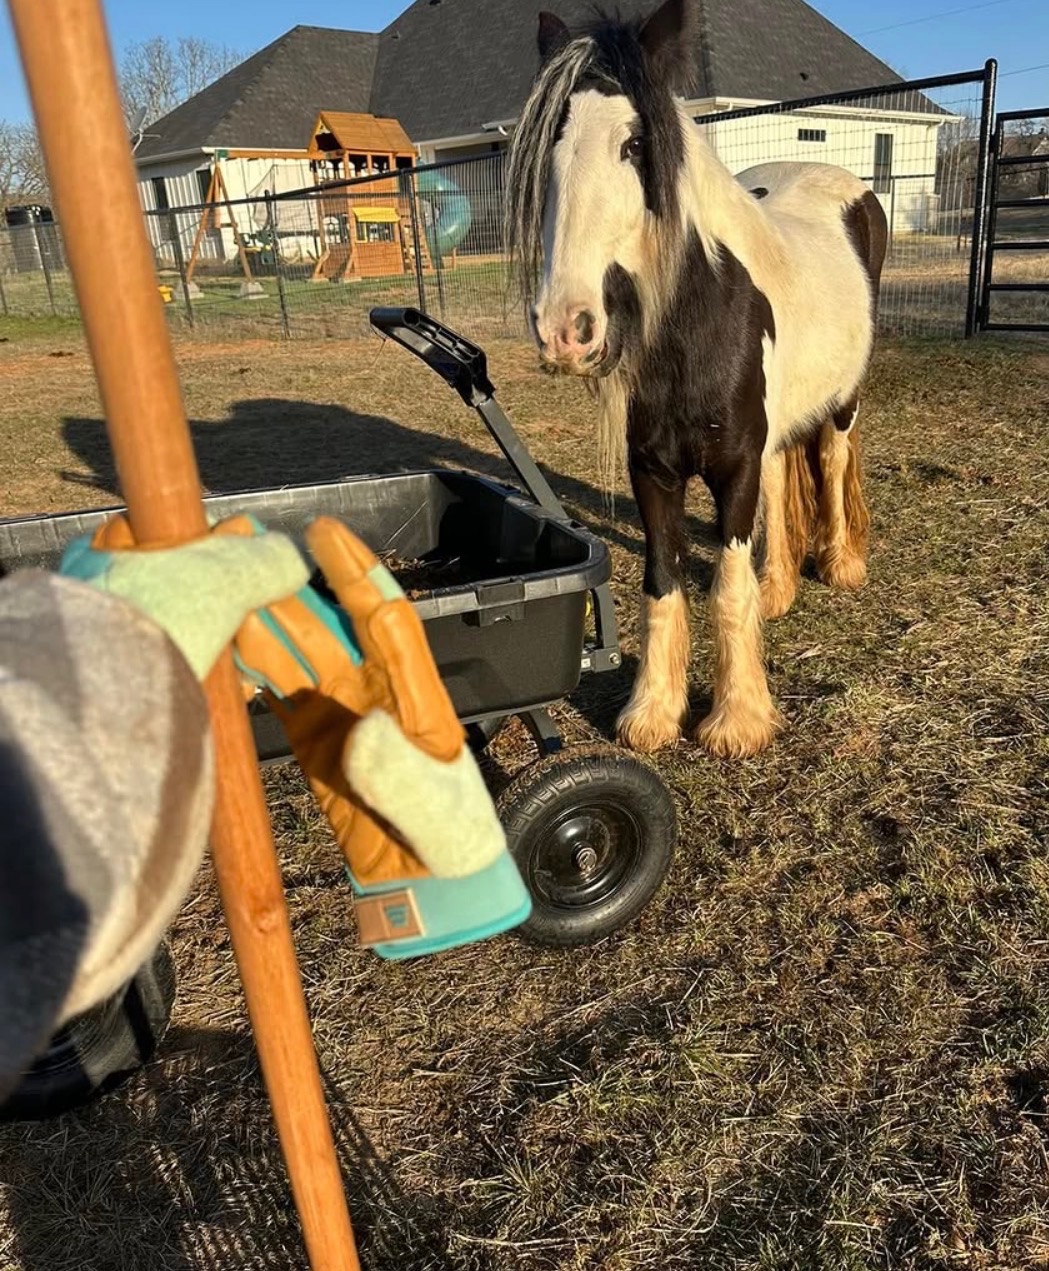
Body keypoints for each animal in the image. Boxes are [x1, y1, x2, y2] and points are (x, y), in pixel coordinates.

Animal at [504, 0, 887, 759]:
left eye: (633, 144)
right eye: (551, 146)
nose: (565, 326)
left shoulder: (732, 465)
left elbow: (727, 585)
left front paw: (737, 720)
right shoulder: (653, 470)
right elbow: (662, 580)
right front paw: (651, 712)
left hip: (843, 400)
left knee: (831, 460)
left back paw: (838, 563)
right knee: (783, 474)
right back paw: (780, 586)